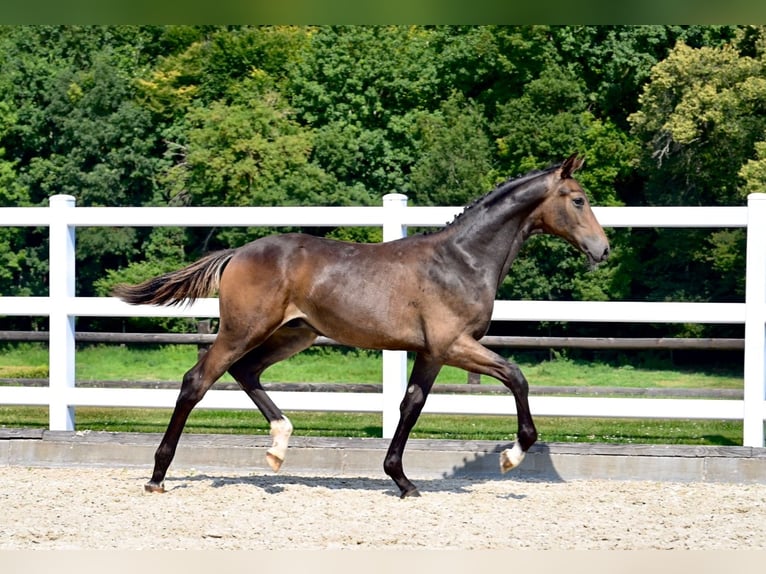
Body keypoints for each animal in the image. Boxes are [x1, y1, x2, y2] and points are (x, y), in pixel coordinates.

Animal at [114, 154, 612, 500]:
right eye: (579, 199)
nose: (603, 249)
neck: (461, 260)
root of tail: (238, 253)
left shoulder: (432, 352)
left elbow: (411, 405)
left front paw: (403, 480)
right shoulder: (454, 344)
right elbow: (516, 376)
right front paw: (512, 455)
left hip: (294, 333)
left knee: (246, 371)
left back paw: (278, 447)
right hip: (243, 329)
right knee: (197, 380)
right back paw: (157, 476)